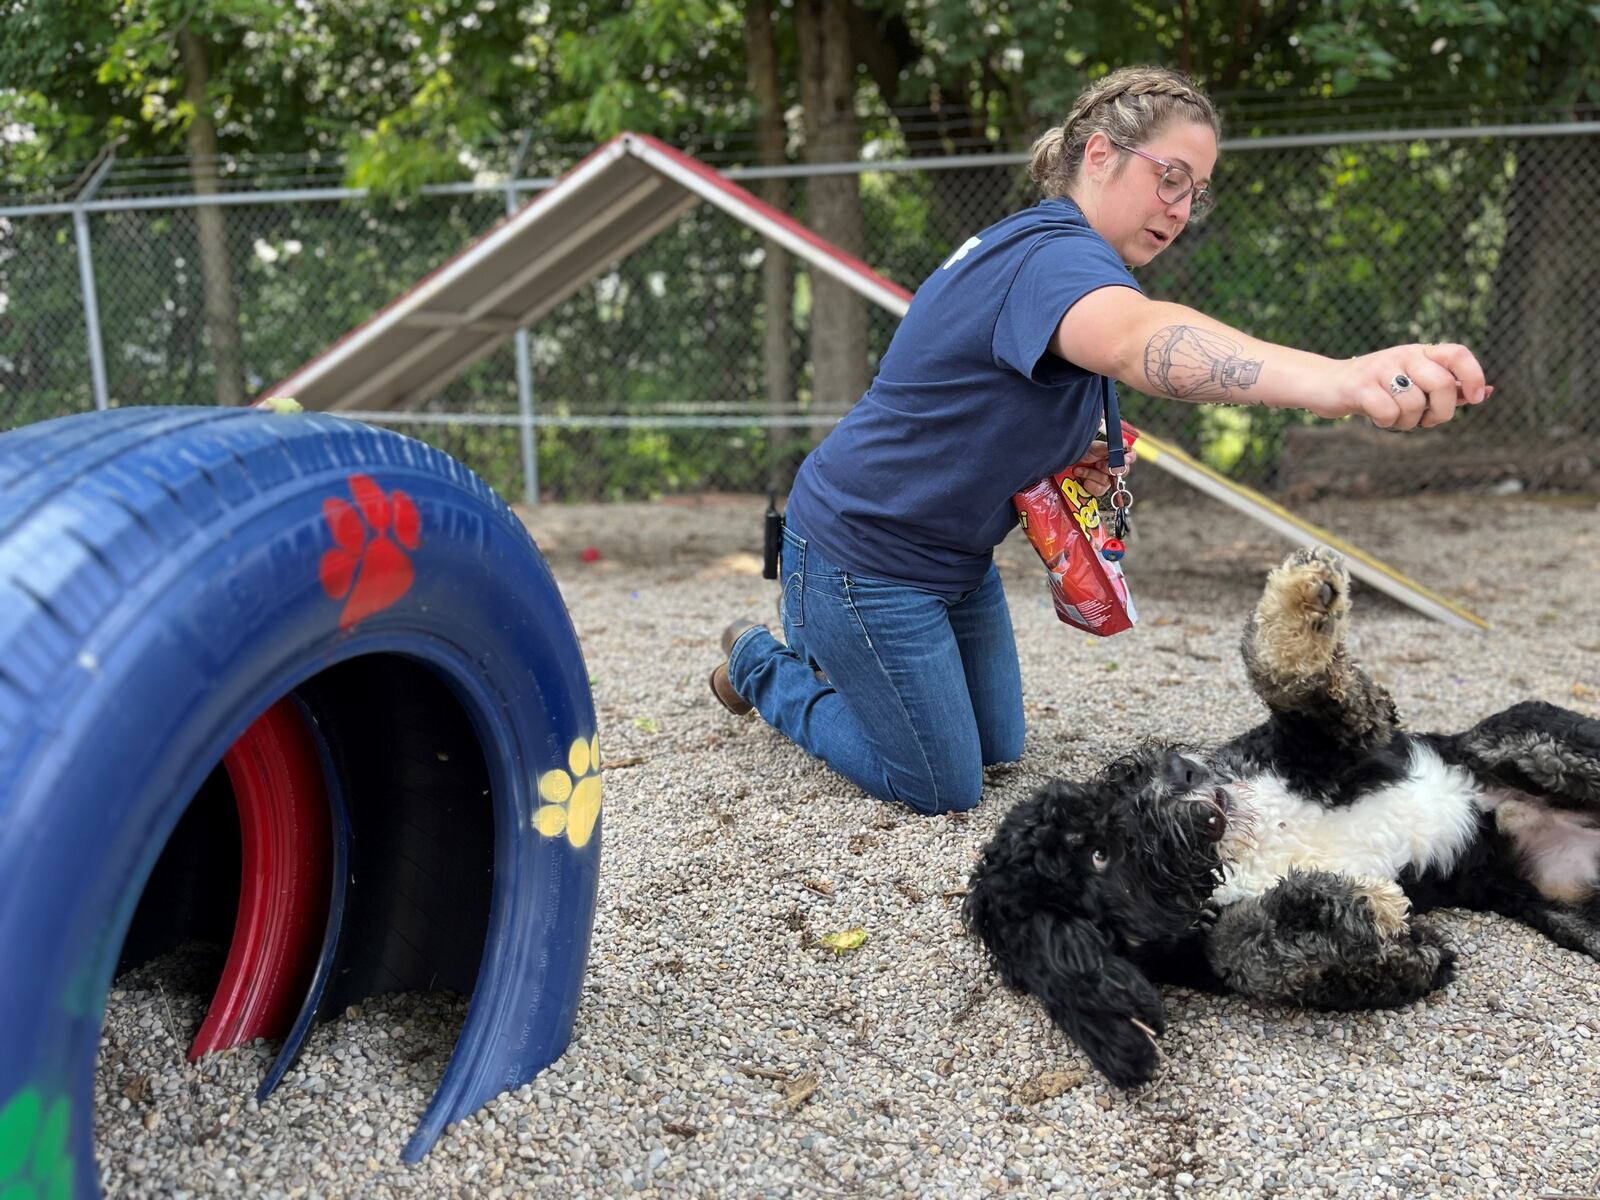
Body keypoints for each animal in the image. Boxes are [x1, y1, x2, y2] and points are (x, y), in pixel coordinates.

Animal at [960, 550, 1600, 1094]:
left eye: (1100, 792)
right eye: (1099, 854)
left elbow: (1292, 681)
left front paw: (1301, 596)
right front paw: (1362, 914)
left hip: (1524, 740)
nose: (1178, 772)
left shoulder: (1324, 745)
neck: (1250, 842)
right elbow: (1243, 950)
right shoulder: (1200, 948)